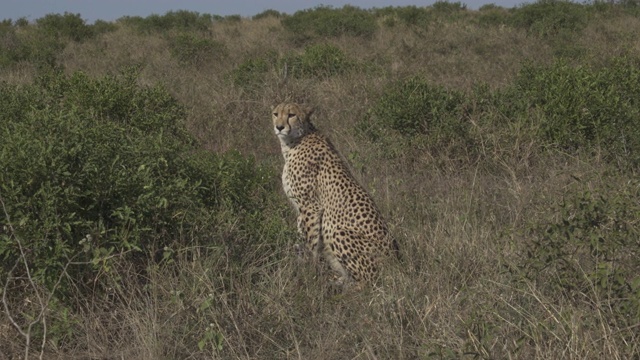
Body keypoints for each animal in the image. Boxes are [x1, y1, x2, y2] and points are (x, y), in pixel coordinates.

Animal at [272, 101, 400, 284]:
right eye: (276, 114)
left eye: (291, 115)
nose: (279, 127)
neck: (295, 141)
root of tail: (396, 261)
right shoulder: (301, 208)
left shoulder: (310, 206)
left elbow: (310, 244)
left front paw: (309, 272)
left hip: (339, 231)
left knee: (368, 282)